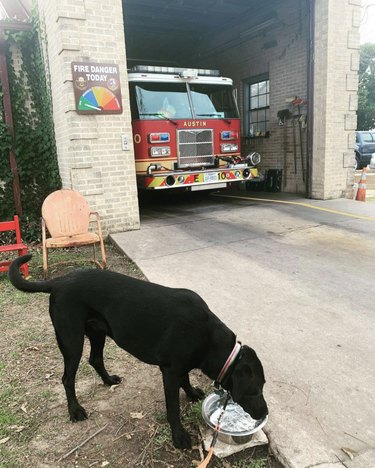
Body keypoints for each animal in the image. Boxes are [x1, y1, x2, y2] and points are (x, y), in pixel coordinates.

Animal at [8, 256, 268, 450]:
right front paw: (179, 436)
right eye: (255, 390)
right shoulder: (170, 371)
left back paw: (108, 380)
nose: (265, 412)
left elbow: (185, 379)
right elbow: (173, 408)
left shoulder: (179, 366)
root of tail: (59, 281)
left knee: (95, 359)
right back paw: (75, 410)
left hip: (97, 332)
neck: (209, 338)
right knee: (67, 377)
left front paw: (192, 392)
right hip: (71, 340)